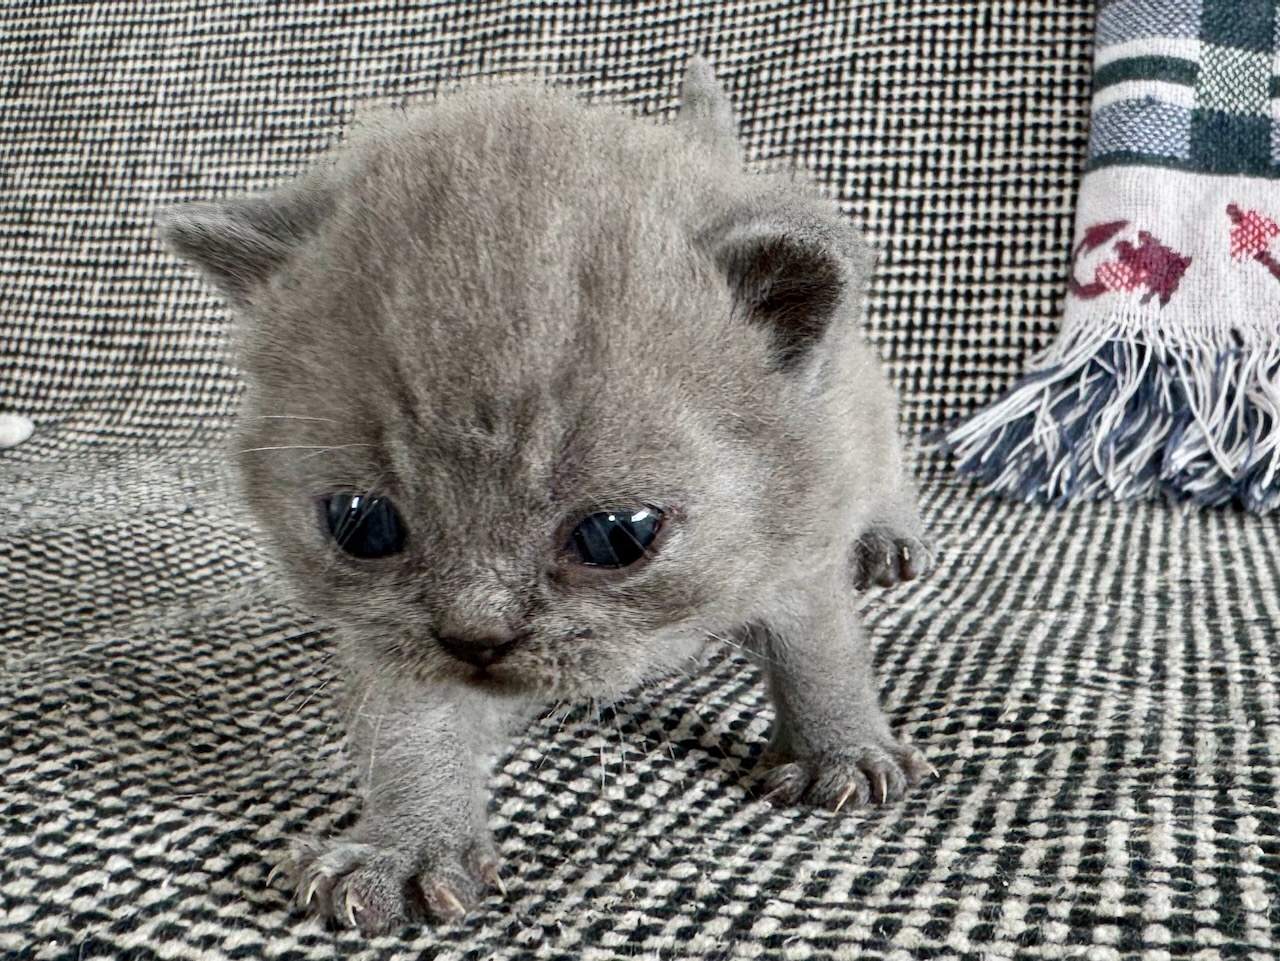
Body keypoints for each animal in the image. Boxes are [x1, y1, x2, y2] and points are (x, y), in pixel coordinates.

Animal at [159, 57, 934, 933]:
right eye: (361, 525)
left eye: (617, 536)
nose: (477, 633)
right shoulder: (394, 631)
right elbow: (411, 720)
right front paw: (405, 842)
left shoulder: (799, 532)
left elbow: (819, 651)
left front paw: (842, 749)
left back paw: (889, 539)